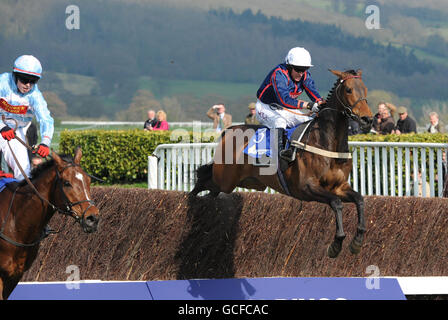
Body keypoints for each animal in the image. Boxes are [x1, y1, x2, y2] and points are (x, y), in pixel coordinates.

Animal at [191, 69, 372, 258]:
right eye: (349, 90)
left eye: (365, 89)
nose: (367, 119)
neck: (326, 142)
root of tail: (229, 130)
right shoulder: (307, 187)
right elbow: (336, 203)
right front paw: (336, 244)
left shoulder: (338, 187)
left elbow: (359, 199)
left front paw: (357, 241)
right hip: (225, 179)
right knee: (204, 179)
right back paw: (190, 199)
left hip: (241, 182)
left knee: (210, 189)